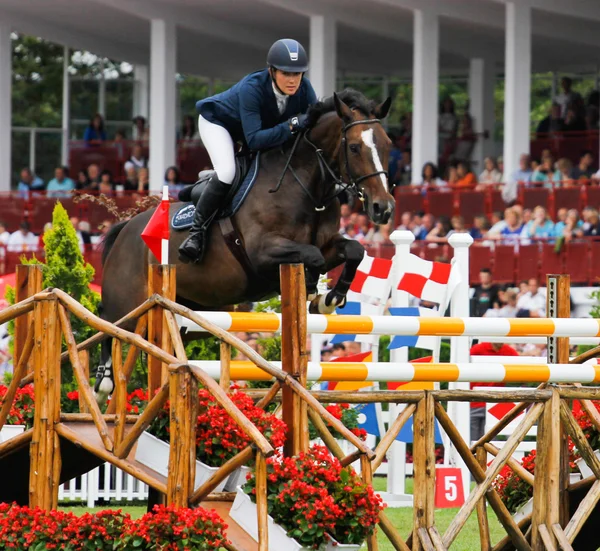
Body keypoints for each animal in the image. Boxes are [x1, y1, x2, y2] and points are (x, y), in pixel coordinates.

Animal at [96, 89, 396, 402]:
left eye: (388, 145)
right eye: (354, 147)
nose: (383, 208)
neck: (305, 186)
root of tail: (126, 228)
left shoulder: (327, 245)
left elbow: (354, 250)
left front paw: (329, 299)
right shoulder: (263, 254)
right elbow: (311, 256)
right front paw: (314, 290)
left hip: (199, 313)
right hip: (130, 303)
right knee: (108, 323)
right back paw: (103, 382)